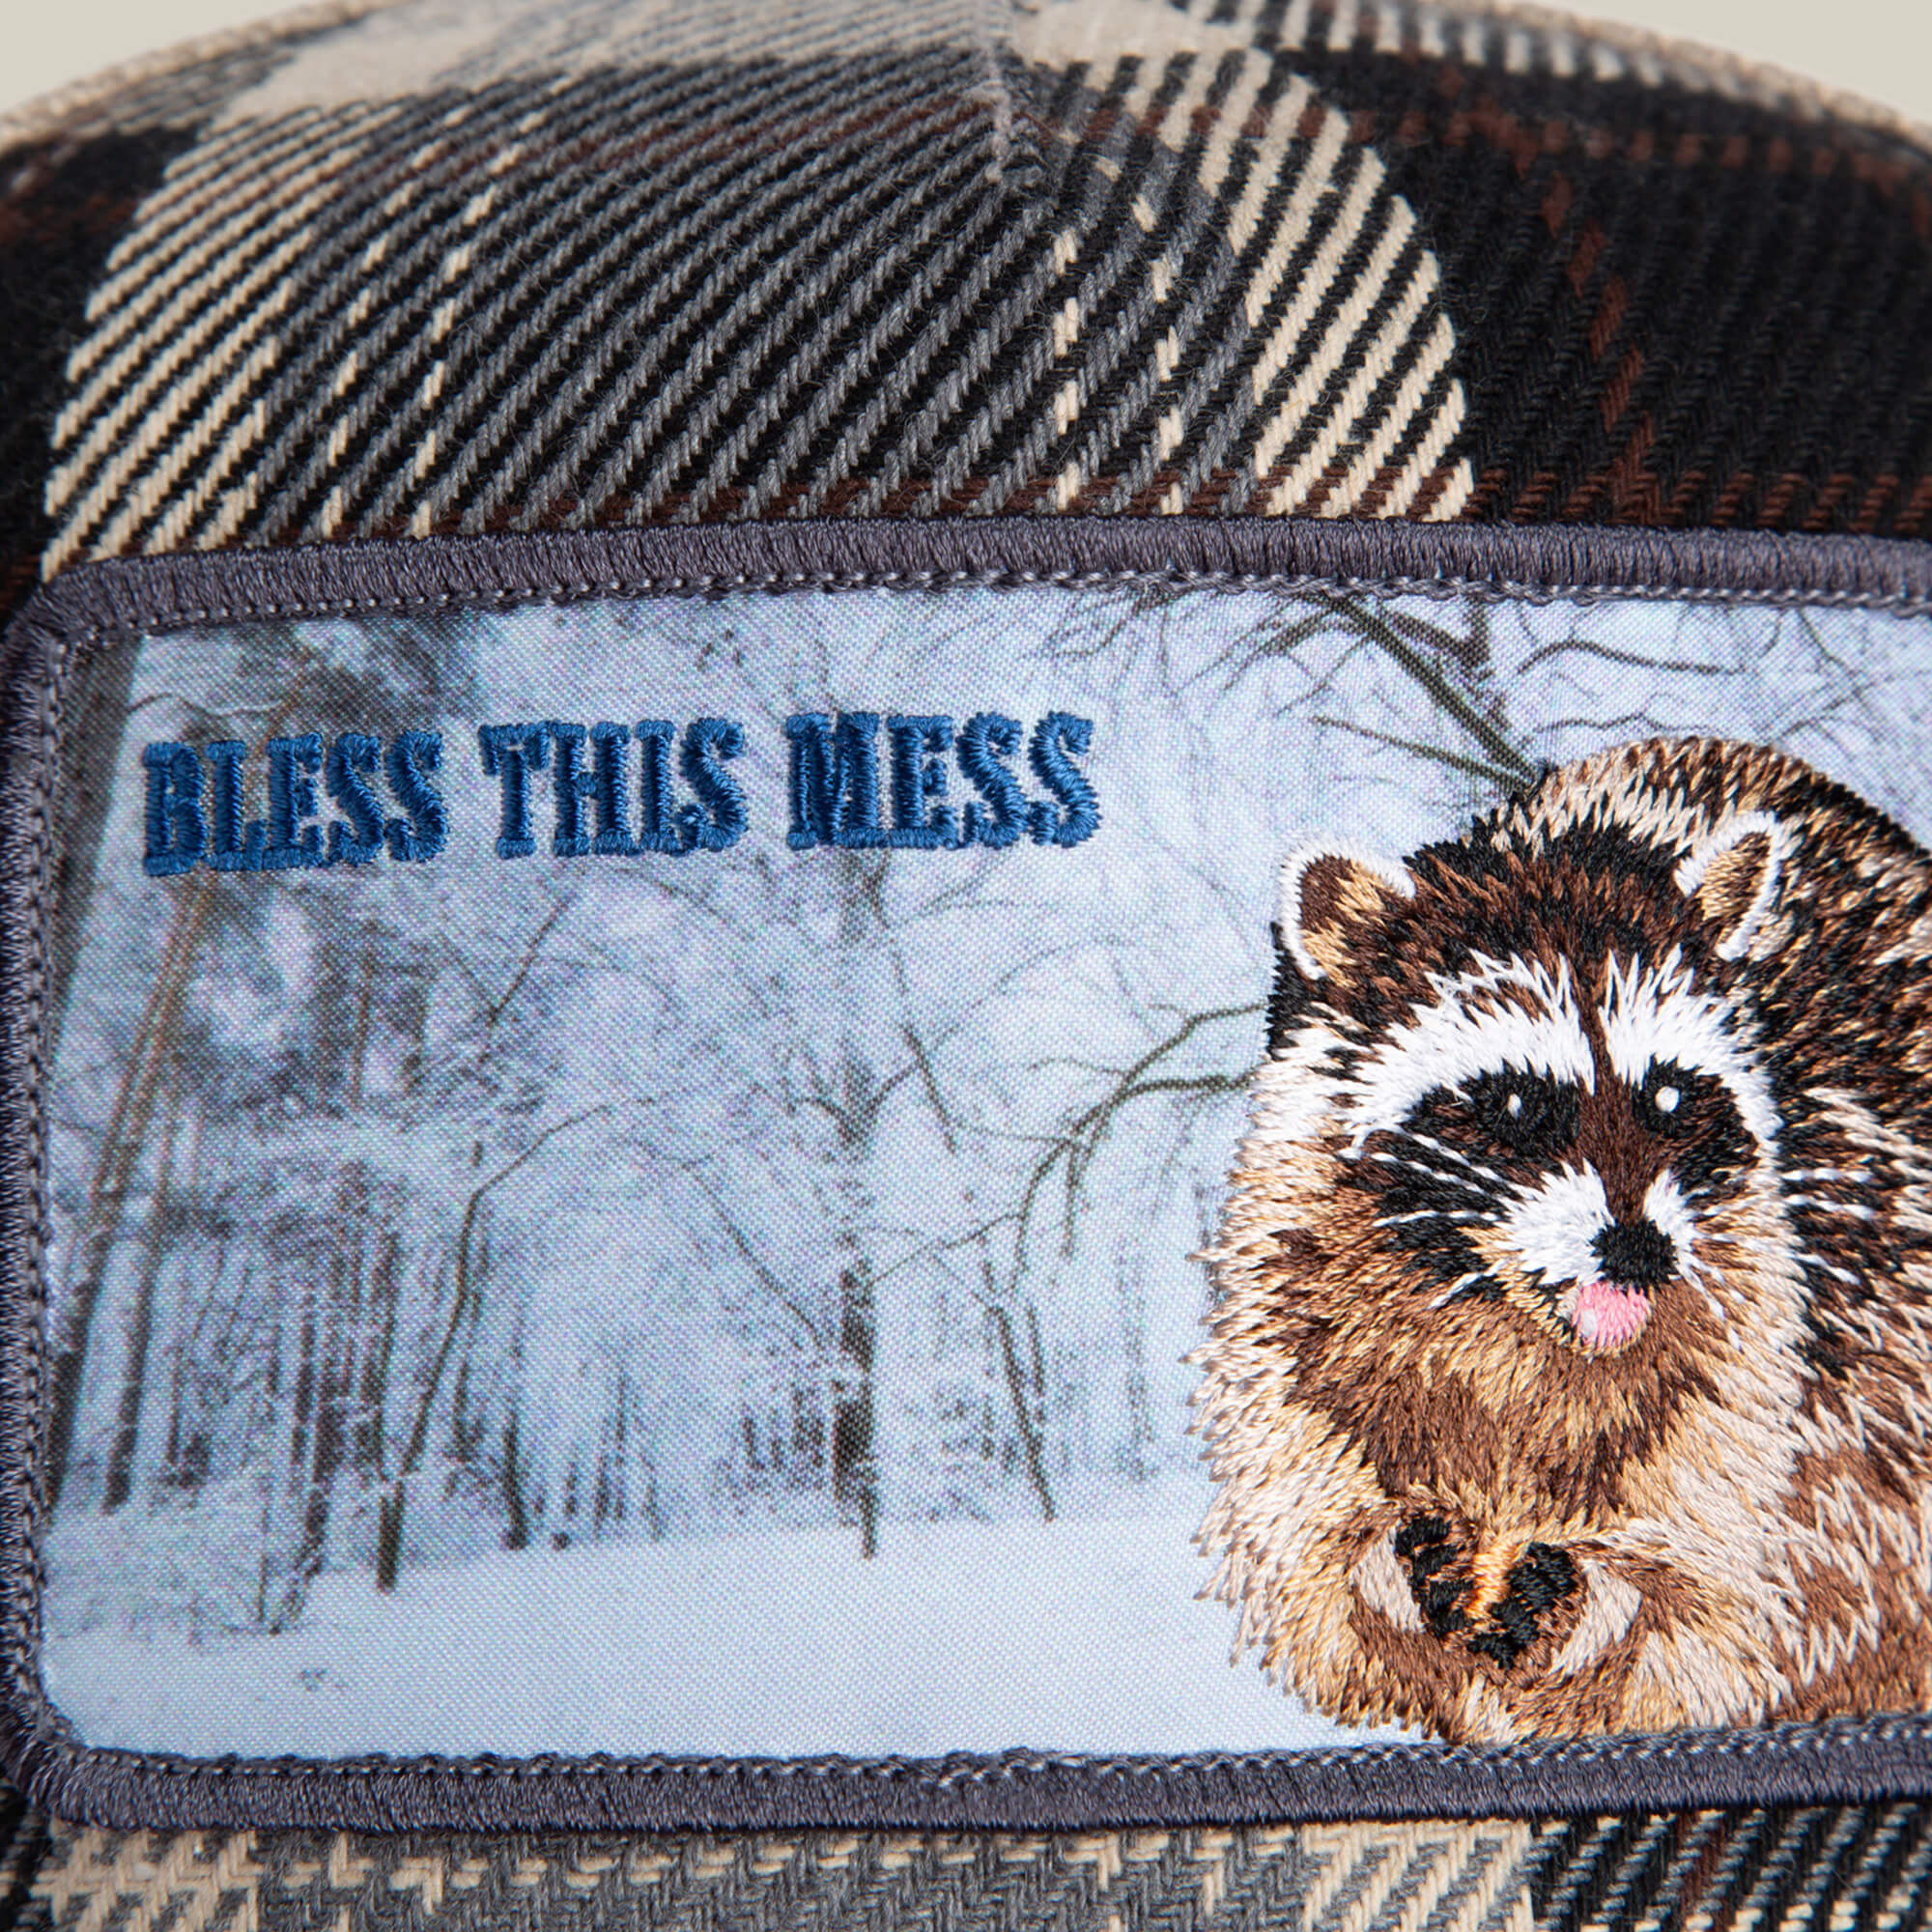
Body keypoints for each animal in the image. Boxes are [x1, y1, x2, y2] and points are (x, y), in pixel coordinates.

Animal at [1195, 737, 1932, 1742]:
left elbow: (1711, 1606)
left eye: (1670, 1093)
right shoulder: (1288, 1317)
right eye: (1515, 1102)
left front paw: (1594, 1593)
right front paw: (1386, 1560)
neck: (1506, 1324)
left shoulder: (1769, 1360)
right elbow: (1317, 1576)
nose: (1639, 1252)